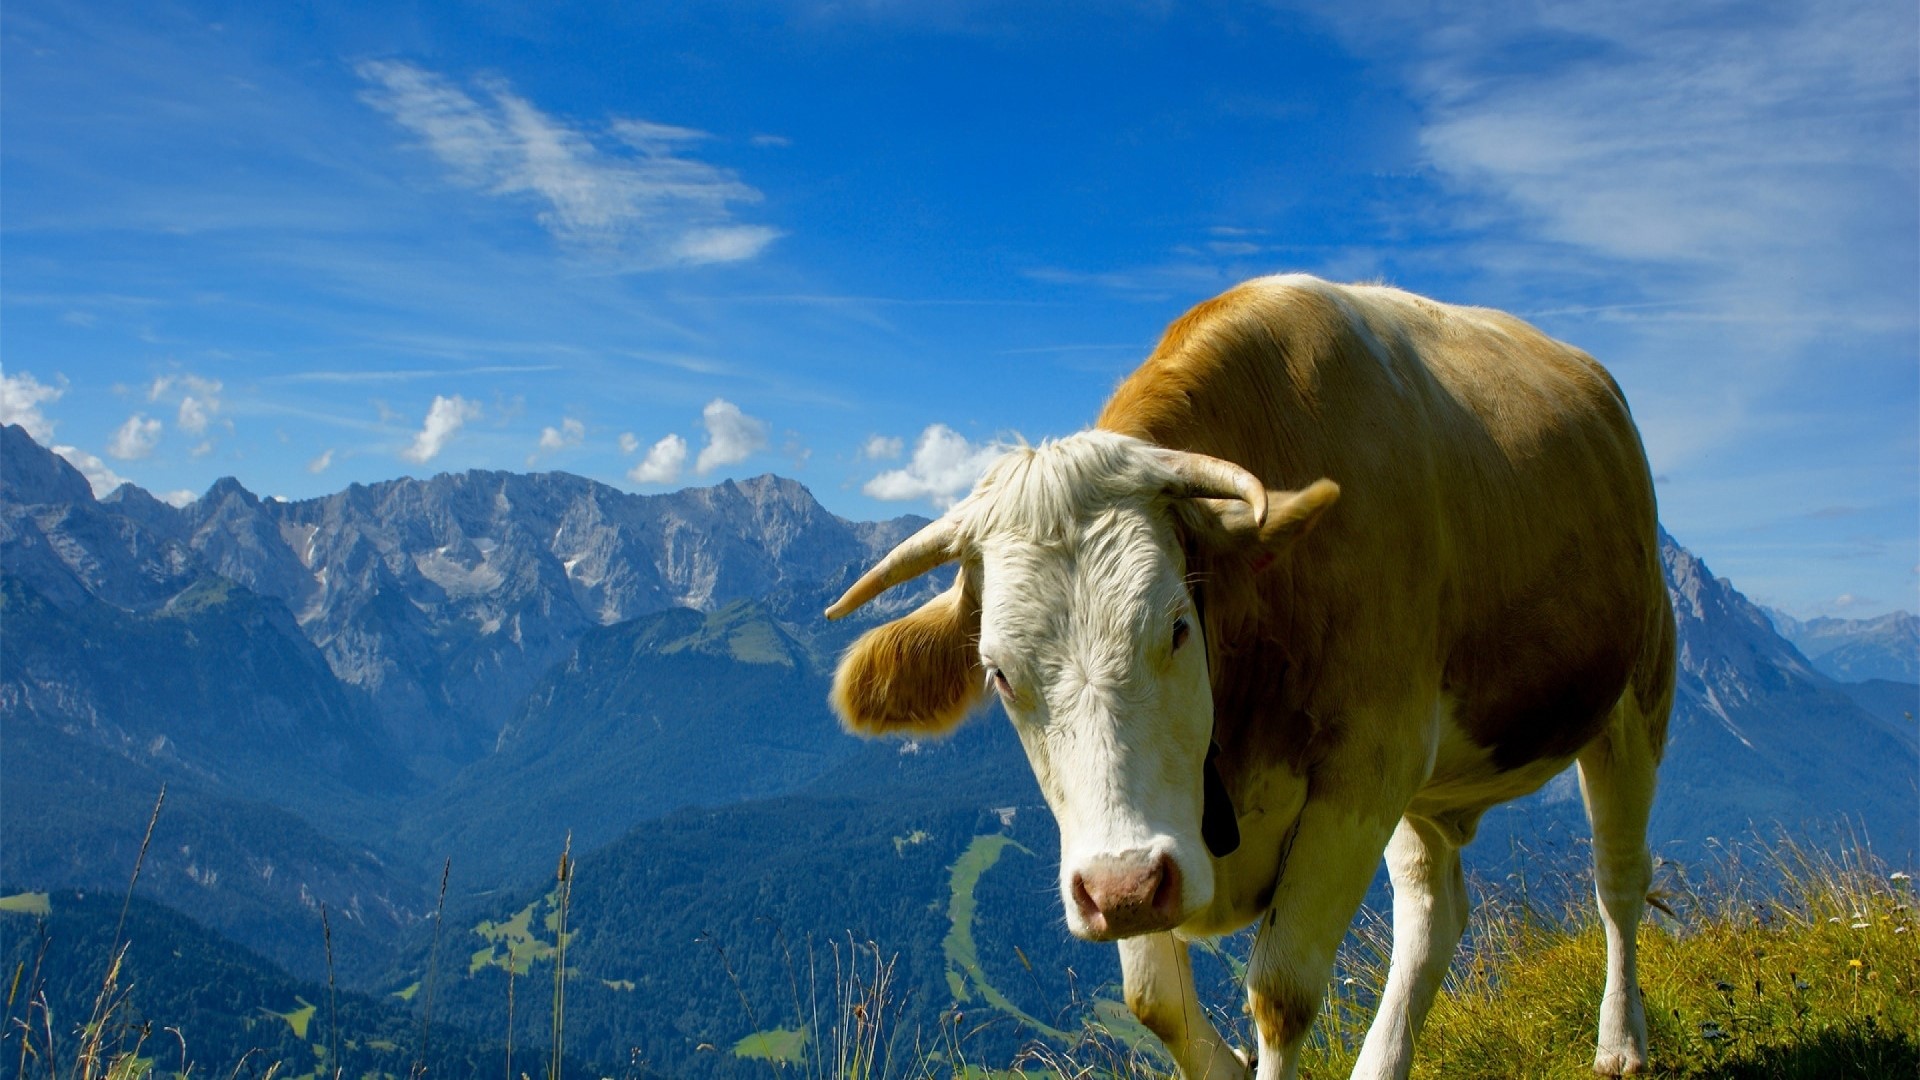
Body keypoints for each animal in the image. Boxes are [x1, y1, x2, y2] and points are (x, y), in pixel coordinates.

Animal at [823, 274, 1675, 1080]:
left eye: (1176, 627)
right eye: (998, 673)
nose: (1123, 889)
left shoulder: (1365, 769)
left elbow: (1282, 992)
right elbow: (1154, 1000)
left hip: (1637, 692)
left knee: (1618, 877)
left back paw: (1621, 1042)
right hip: (1427, 789)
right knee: (1434, 911)